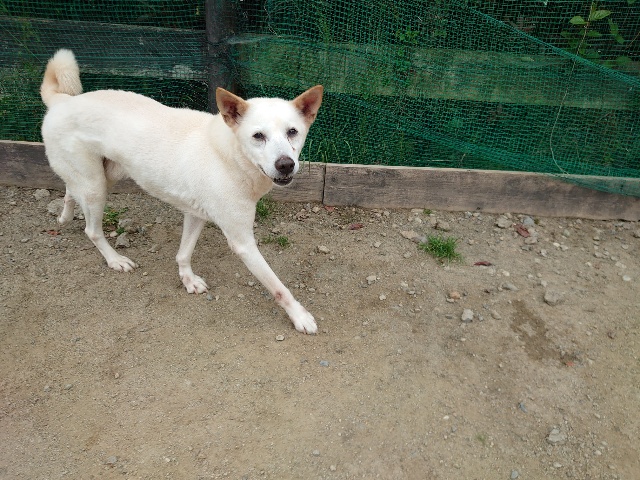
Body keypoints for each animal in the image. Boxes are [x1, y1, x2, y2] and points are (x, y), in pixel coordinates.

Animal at [40, 49, 322, 334]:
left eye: (292, 132)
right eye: (258, 136)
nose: (286, 164)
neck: (231, 156)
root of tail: (61, 101)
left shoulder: (196, 214)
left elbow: (184, 253)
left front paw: (188, 280)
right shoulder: (242, 242)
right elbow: (278, 286)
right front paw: (299, 316)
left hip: (102, 177)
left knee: (70, 189)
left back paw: (65, 215)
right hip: (96, 189)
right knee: (92, 230)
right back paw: (115, 259)